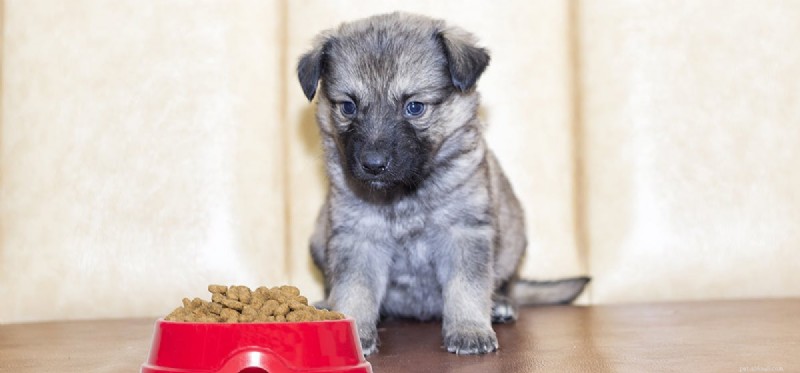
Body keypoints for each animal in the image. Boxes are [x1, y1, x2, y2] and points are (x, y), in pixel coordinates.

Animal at [296, 11, 592, 354]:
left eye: (414, 107)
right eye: (348, 106)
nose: (373, 165)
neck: (405, 192)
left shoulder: (463, 232)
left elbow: (466, 287)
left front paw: (468, 329)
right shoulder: (359, 236)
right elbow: (355, 289)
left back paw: (500, 304)